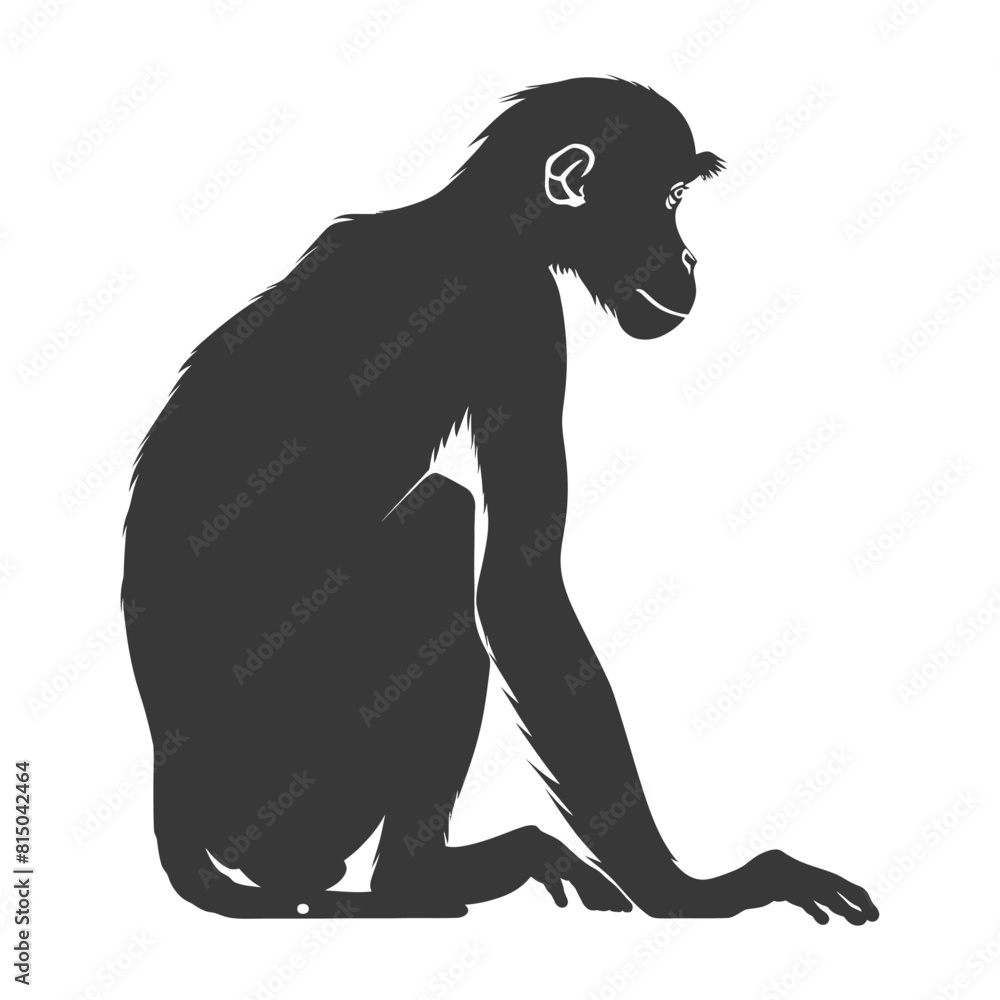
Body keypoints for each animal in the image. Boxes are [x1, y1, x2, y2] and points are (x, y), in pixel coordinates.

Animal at [122, 77, 879, 924]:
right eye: (671, 197)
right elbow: (521, 587)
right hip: (296, 781)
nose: (689, 254)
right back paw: (422, 880)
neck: (484, 222)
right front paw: (695, 891)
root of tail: (174, 802)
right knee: (441, 525)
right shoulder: (522, 312)